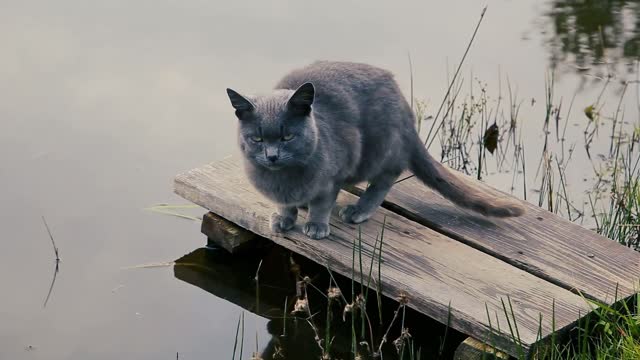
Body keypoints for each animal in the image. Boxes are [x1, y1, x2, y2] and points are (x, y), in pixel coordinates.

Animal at [226, 61, 524, 239]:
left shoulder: (335, 172)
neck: (282, 179)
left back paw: (358, 210)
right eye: (257, 139)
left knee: (386, 178)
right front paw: (284, 218)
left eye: (287, 136)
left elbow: (323, 202)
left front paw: (317, 225)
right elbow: (285, 204)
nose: (272, 156)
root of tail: (405, 108)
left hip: (380, 149)